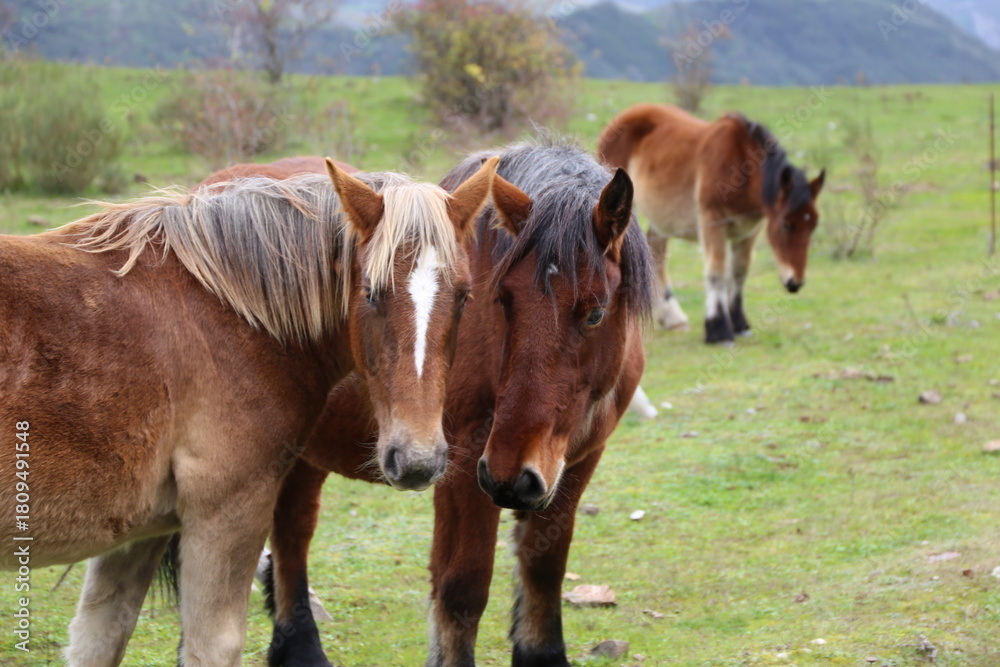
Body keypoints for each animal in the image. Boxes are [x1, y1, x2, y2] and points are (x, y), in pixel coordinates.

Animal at [0, 156, 503, 666]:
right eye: (371, 292)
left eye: (464, 295)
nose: (418, 461)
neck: (228, 311)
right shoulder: (226, 514)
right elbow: (212, 645)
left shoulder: (138, 534)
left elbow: (99, 636)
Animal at [247, 140, 655, 667]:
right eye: (503, 299)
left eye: (595, 313)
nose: (511, 477)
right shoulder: (463, 466)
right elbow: (462, 587)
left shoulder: (579, 462)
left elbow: (544, 566)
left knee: (292, 532)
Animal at [598, 103, 825, 344]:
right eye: (785, 225)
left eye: (813, 225)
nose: (795, 283)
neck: (741, 164)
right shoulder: (713, 222)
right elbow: (717, 272)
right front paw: (718, 329)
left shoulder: (749, 231)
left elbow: (739, 271)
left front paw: (739, 323)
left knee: (656, 253)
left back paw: (672, 318)